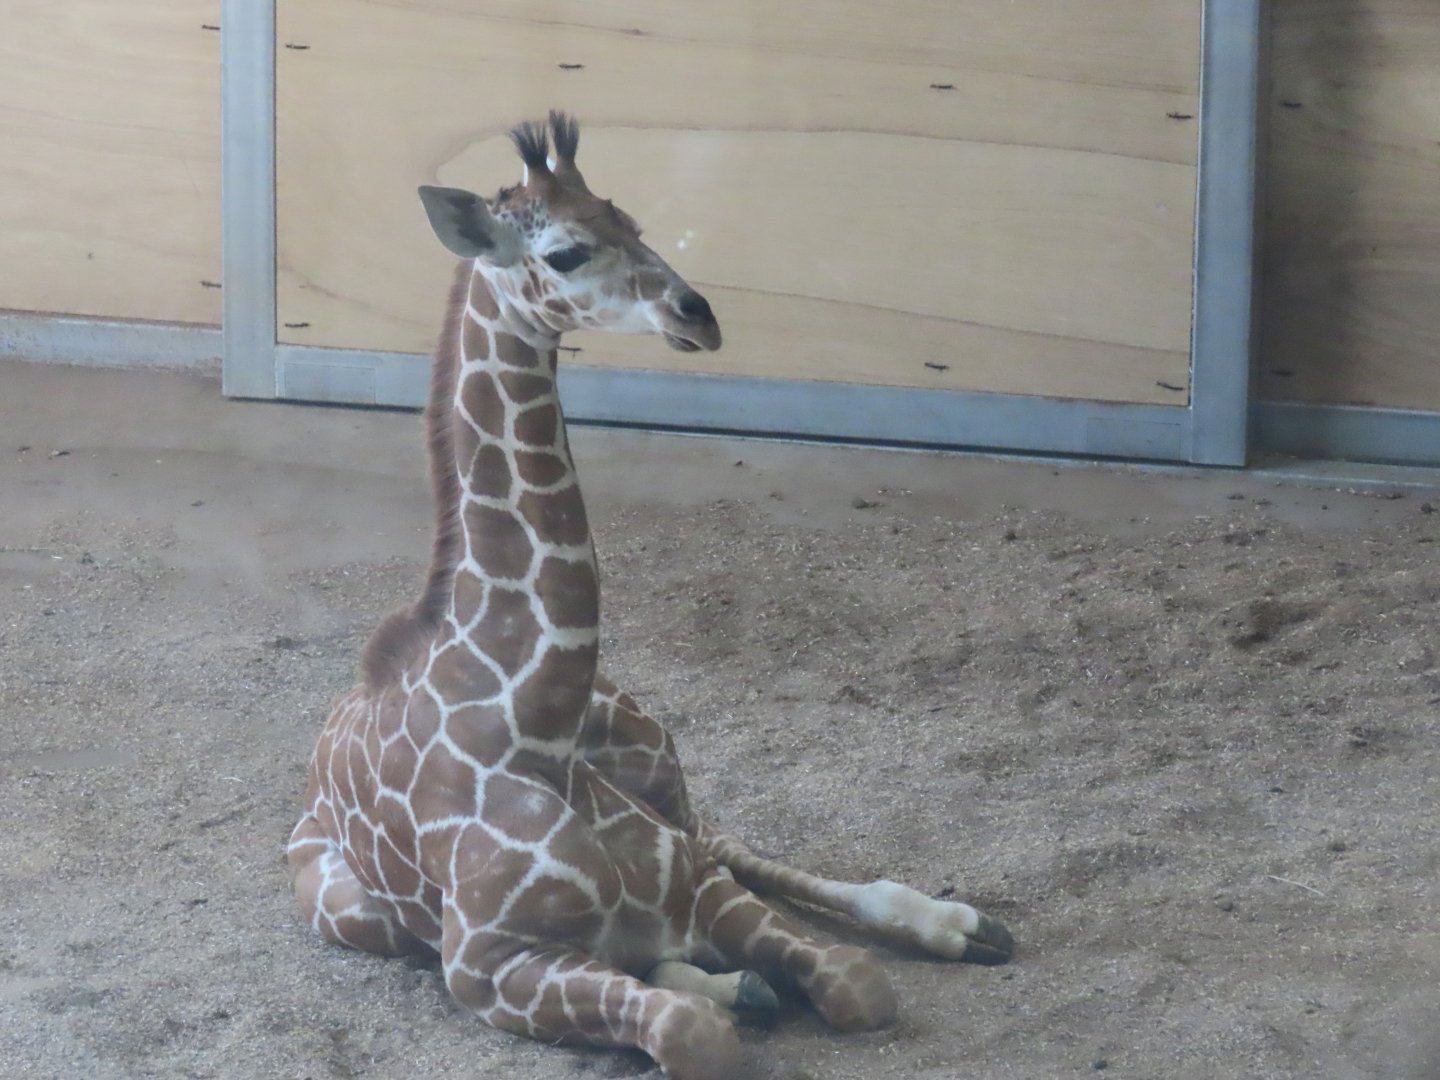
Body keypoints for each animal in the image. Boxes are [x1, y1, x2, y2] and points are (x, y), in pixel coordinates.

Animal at [288, 112, 1012, 1080]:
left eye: (630, 219)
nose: (697, 314)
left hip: (654, 750)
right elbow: (693, 1033)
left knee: (723, 835)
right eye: (563, 251)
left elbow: (857, 984)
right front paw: (724, 993)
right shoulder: (485, 969)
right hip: (350, 912)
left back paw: (953, 925)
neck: (532, 730)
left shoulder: (695, 887)